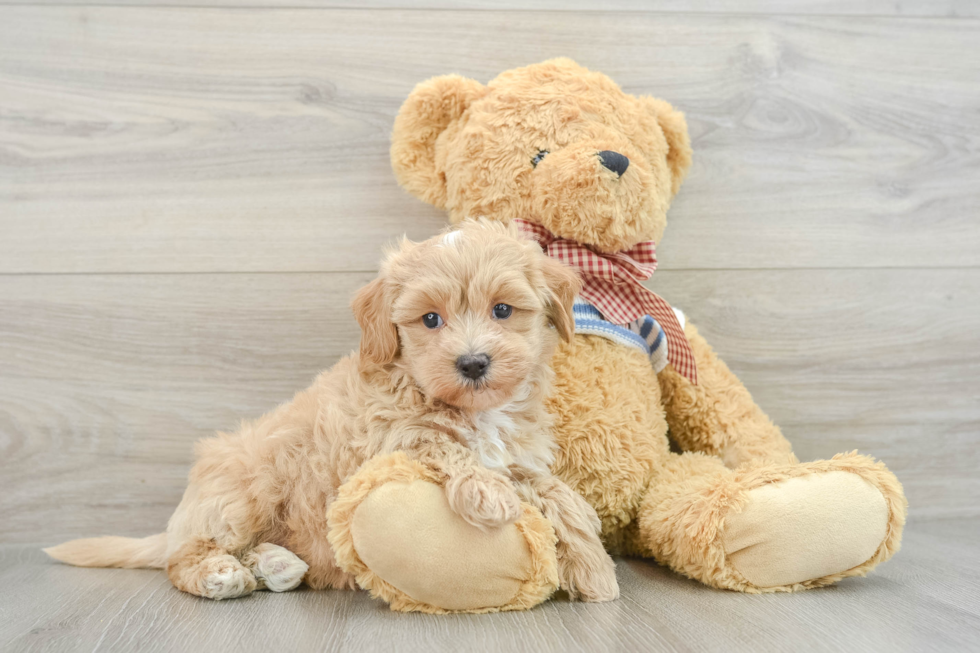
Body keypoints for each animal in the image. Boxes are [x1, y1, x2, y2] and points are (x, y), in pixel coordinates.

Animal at [46, 222, 620, 604]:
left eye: (502, 310)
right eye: (430, 320)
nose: (473, 362)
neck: (470, 409)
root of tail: (180, 517)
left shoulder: (515, 451)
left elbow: (545, 486)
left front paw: (592, 561)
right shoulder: (389, 438)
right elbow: (441, 444)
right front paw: (488, 493)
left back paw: (276, 564)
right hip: (244, 490)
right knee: (182, 556)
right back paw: (219, 575)